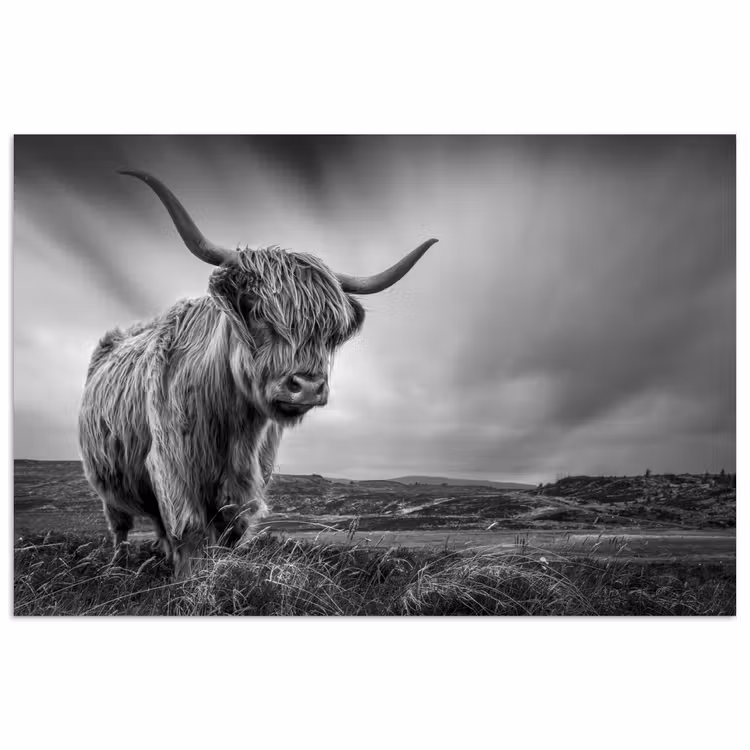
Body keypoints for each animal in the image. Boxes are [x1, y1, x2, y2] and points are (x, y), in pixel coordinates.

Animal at [78, 169, 436, 576]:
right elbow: (189, 531)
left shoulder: (249, 479)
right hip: (106, 480)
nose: (307, 386)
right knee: (120, 525)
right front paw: (189, 581)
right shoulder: (172, 465)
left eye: (329, 329)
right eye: (253, 307)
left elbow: (230, 530)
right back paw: (118, 564)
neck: (234, 425)